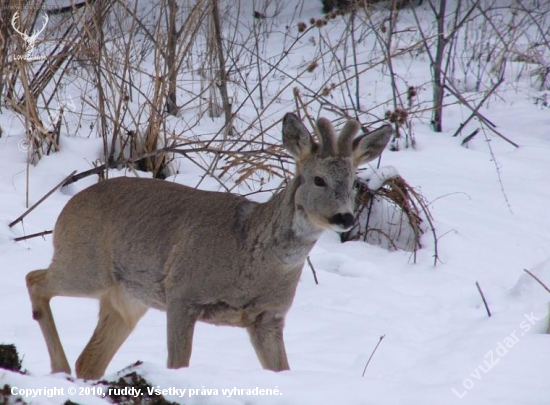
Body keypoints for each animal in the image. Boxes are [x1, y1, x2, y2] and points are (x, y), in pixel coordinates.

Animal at [25, 113, 392, 378]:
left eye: (355, 182)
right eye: (319, 179)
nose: (345, 217)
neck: (249, 254)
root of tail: (66, 210)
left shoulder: (269, 317)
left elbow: (282, 370)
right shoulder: (182, 294)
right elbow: (178, 366)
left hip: (128, 298)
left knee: (90, 360)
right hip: (86, 265)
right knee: (34, 279)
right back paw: (58, 369)